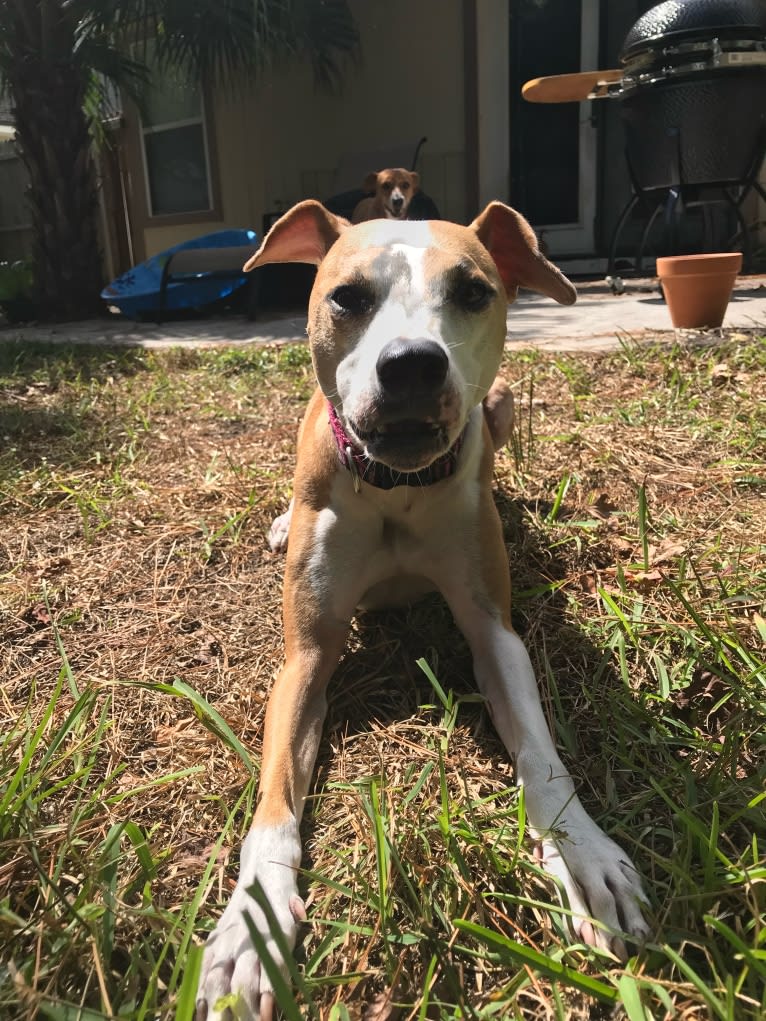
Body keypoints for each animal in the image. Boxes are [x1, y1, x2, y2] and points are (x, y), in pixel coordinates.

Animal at [195, 199, 649, 1021]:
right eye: (347, 296)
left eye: (472, 291)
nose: (411, 363)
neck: (396, 487)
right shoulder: (305, 657)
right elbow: (275, 804)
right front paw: (253, 923)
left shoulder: (495, 634)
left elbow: (541, 752)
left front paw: (581, 852)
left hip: (502, 405)